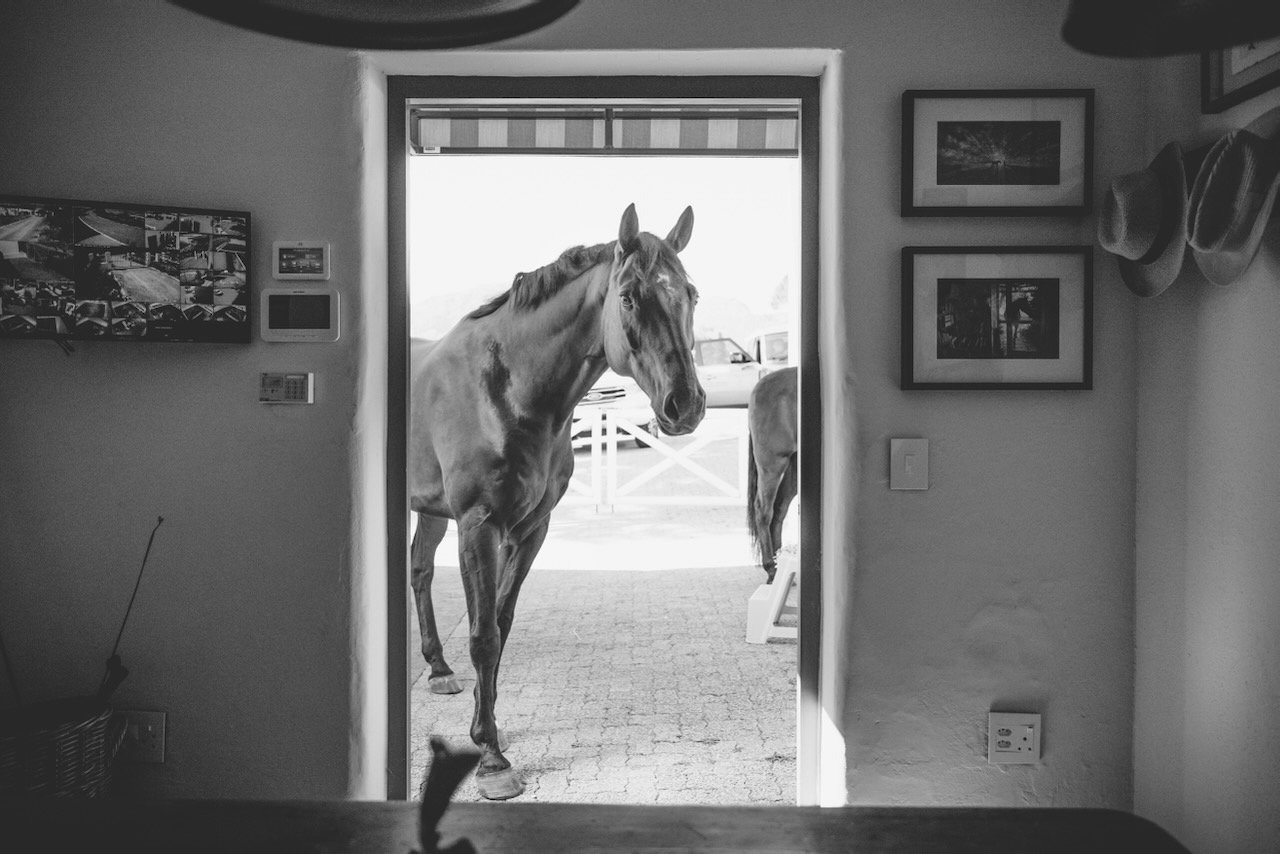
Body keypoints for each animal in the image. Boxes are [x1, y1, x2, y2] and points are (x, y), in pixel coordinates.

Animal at [409, 203, 705, 800]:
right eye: (629, 296)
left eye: (691, 293)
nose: (684, 404)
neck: (505, 387)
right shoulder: (477, 526)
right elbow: (483, 635)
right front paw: (492, 759)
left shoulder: (531, 529)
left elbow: (501, 624)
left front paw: (488, 729)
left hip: (430, 511)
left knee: (420, 569)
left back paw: (438, 669)